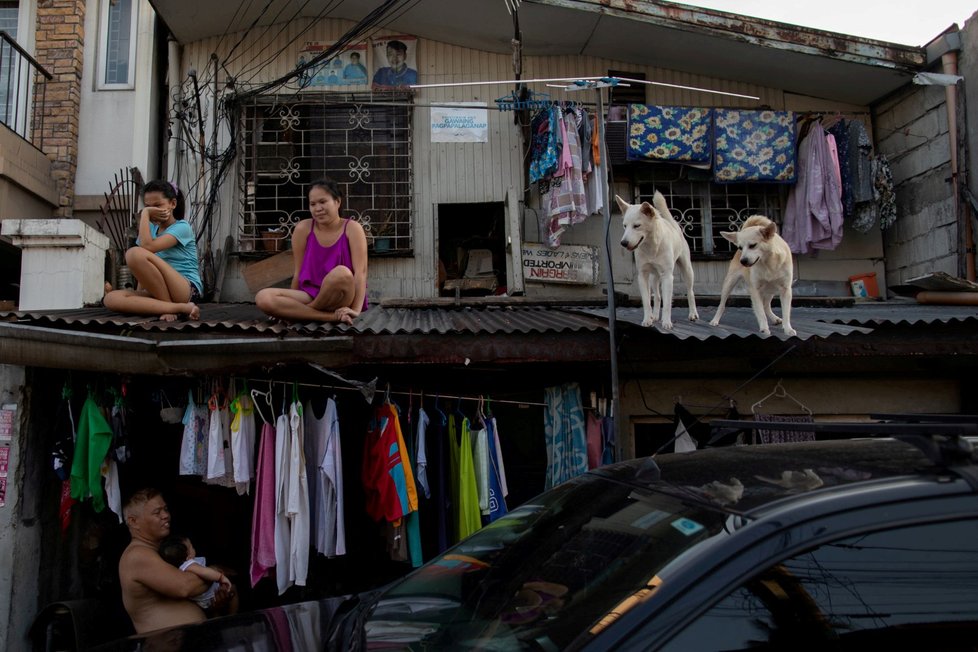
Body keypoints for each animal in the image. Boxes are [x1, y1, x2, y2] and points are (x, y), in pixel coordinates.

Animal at [616, 191, 692, 328]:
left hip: (687, 270)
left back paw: (693, 314)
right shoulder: (643, 276)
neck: (651, 247)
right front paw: (647, 319)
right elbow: (647, 302)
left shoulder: (667, 276)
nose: (623, 243)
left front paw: (666, 322)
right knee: (657, 296)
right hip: (654, 277)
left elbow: (667, 304)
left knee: (690, 292)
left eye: (637, 226)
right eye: (624, 226)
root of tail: (673, 224)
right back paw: (655, 316)